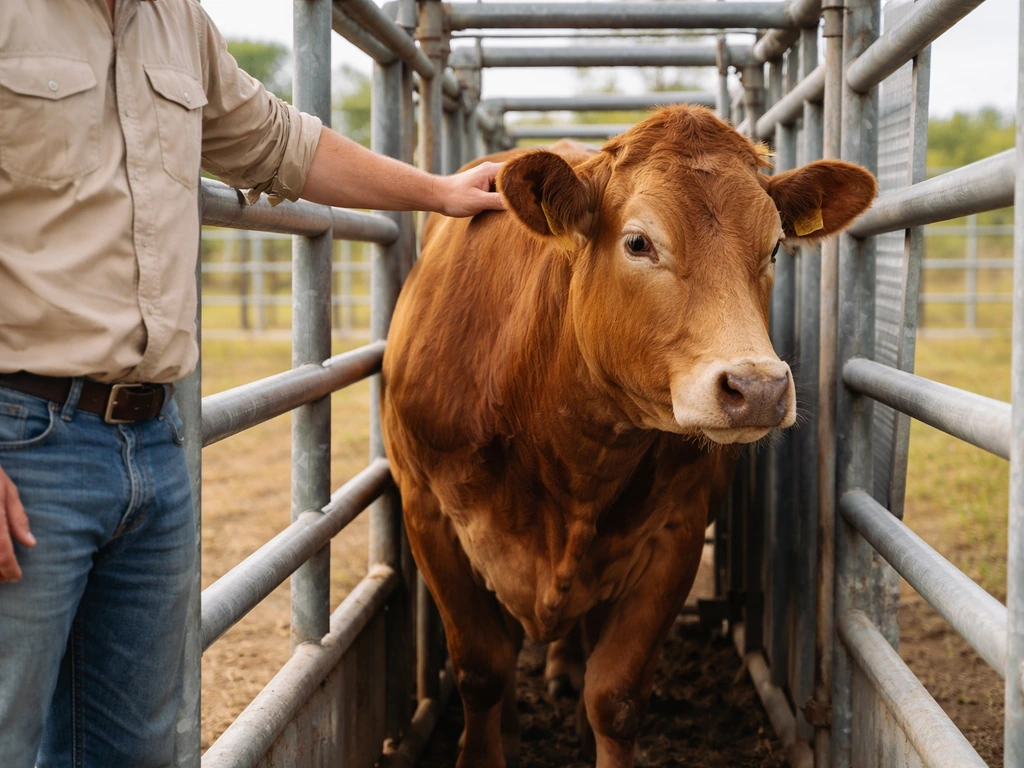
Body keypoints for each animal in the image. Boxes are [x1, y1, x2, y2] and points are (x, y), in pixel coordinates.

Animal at [381, 105, 876, 768]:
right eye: (639, 242)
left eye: (775, 246)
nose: (758, 388)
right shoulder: (426, 510)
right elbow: (481, 666)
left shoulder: (677, 532)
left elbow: (615, 695)